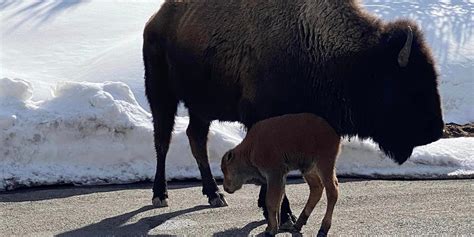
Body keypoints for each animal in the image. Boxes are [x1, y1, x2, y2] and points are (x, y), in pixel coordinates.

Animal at [143, 0, 444, 227]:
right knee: (162, 141)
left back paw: (214, 194)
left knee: (196, 140)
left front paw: (271, 210)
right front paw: (285, 216)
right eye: (410, 85)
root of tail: (156, 20)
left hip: (200, 108)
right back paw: (161, 195)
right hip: (161, 96)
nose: (435, 130)